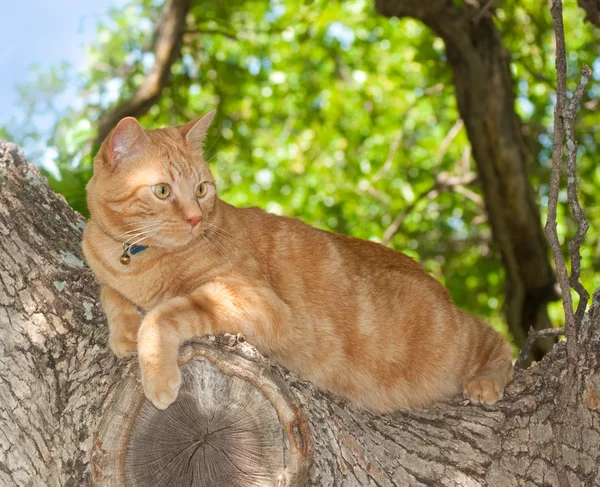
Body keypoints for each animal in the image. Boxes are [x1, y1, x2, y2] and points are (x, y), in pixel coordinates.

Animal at [83, 111, 516, 412]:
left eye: (202, 189)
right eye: (162, 191)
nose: (195, 219)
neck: (136, 259)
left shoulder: (256, 301)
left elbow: (164, 314)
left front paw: (155, 372)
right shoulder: (107, 271)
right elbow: (111, 294)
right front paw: (124, 333)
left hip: (452, 340)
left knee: (495, 337)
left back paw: (487, 382)